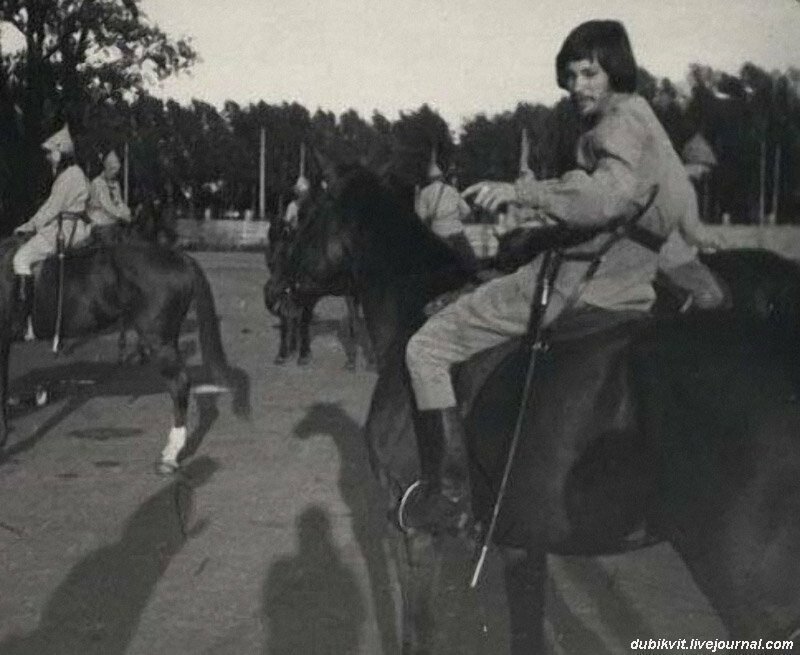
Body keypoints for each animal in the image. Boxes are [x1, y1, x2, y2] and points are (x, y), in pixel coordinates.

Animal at [276, 163, 800, 652]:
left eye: (306, 215)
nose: (274, 293)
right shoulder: (522, 543)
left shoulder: (412, 531)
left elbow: (417, 634)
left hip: (750, 598)